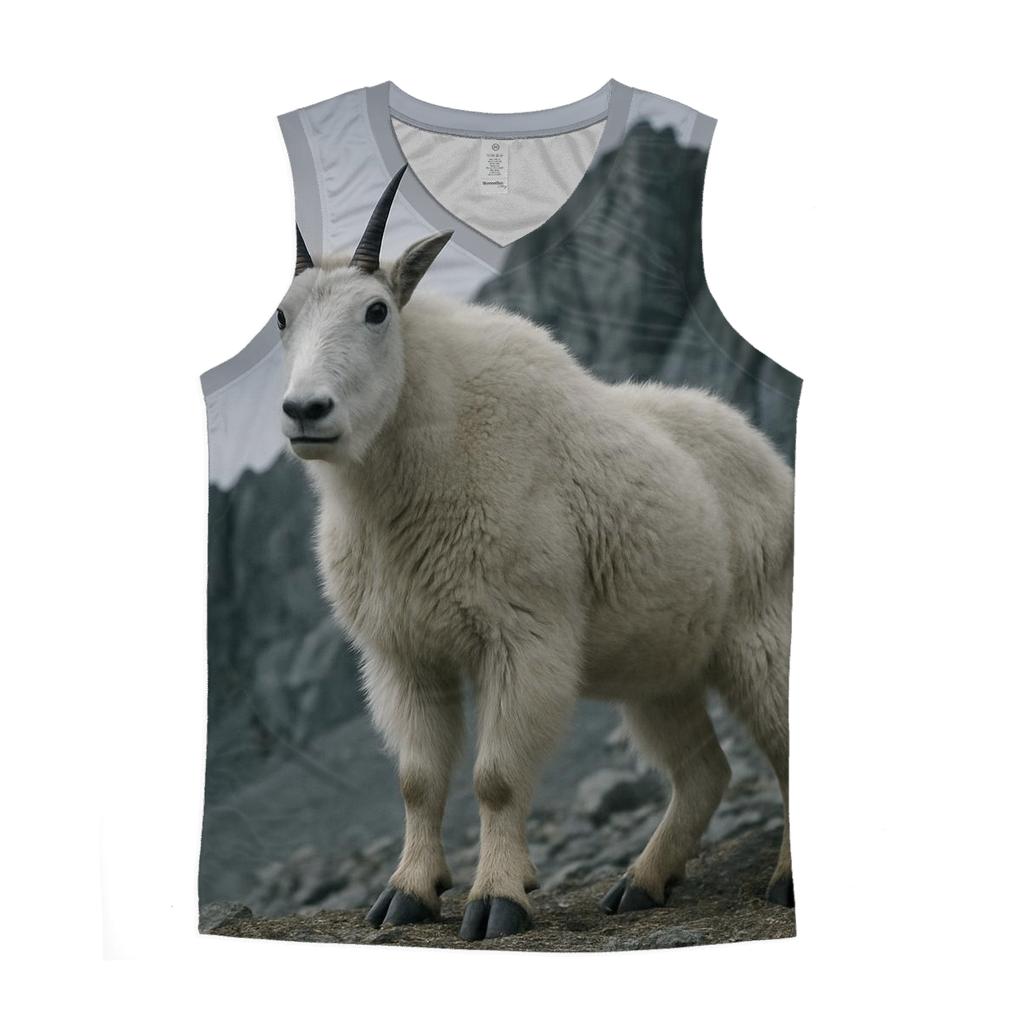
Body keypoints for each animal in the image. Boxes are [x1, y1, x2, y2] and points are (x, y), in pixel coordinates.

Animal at [277, 166, 795, 940]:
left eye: (376, 311)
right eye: (281, 317)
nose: (306, 412)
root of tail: (771, 457)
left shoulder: (522, 635)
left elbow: (495, 777)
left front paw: (497, 901)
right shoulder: (403, 653)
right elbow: (417, 780)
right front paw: (407, 895)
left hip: (763, 627)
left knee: (787, 746)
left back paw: (784, 880)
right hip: (662, 669)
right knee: (704, 770)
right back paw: (640, 883)